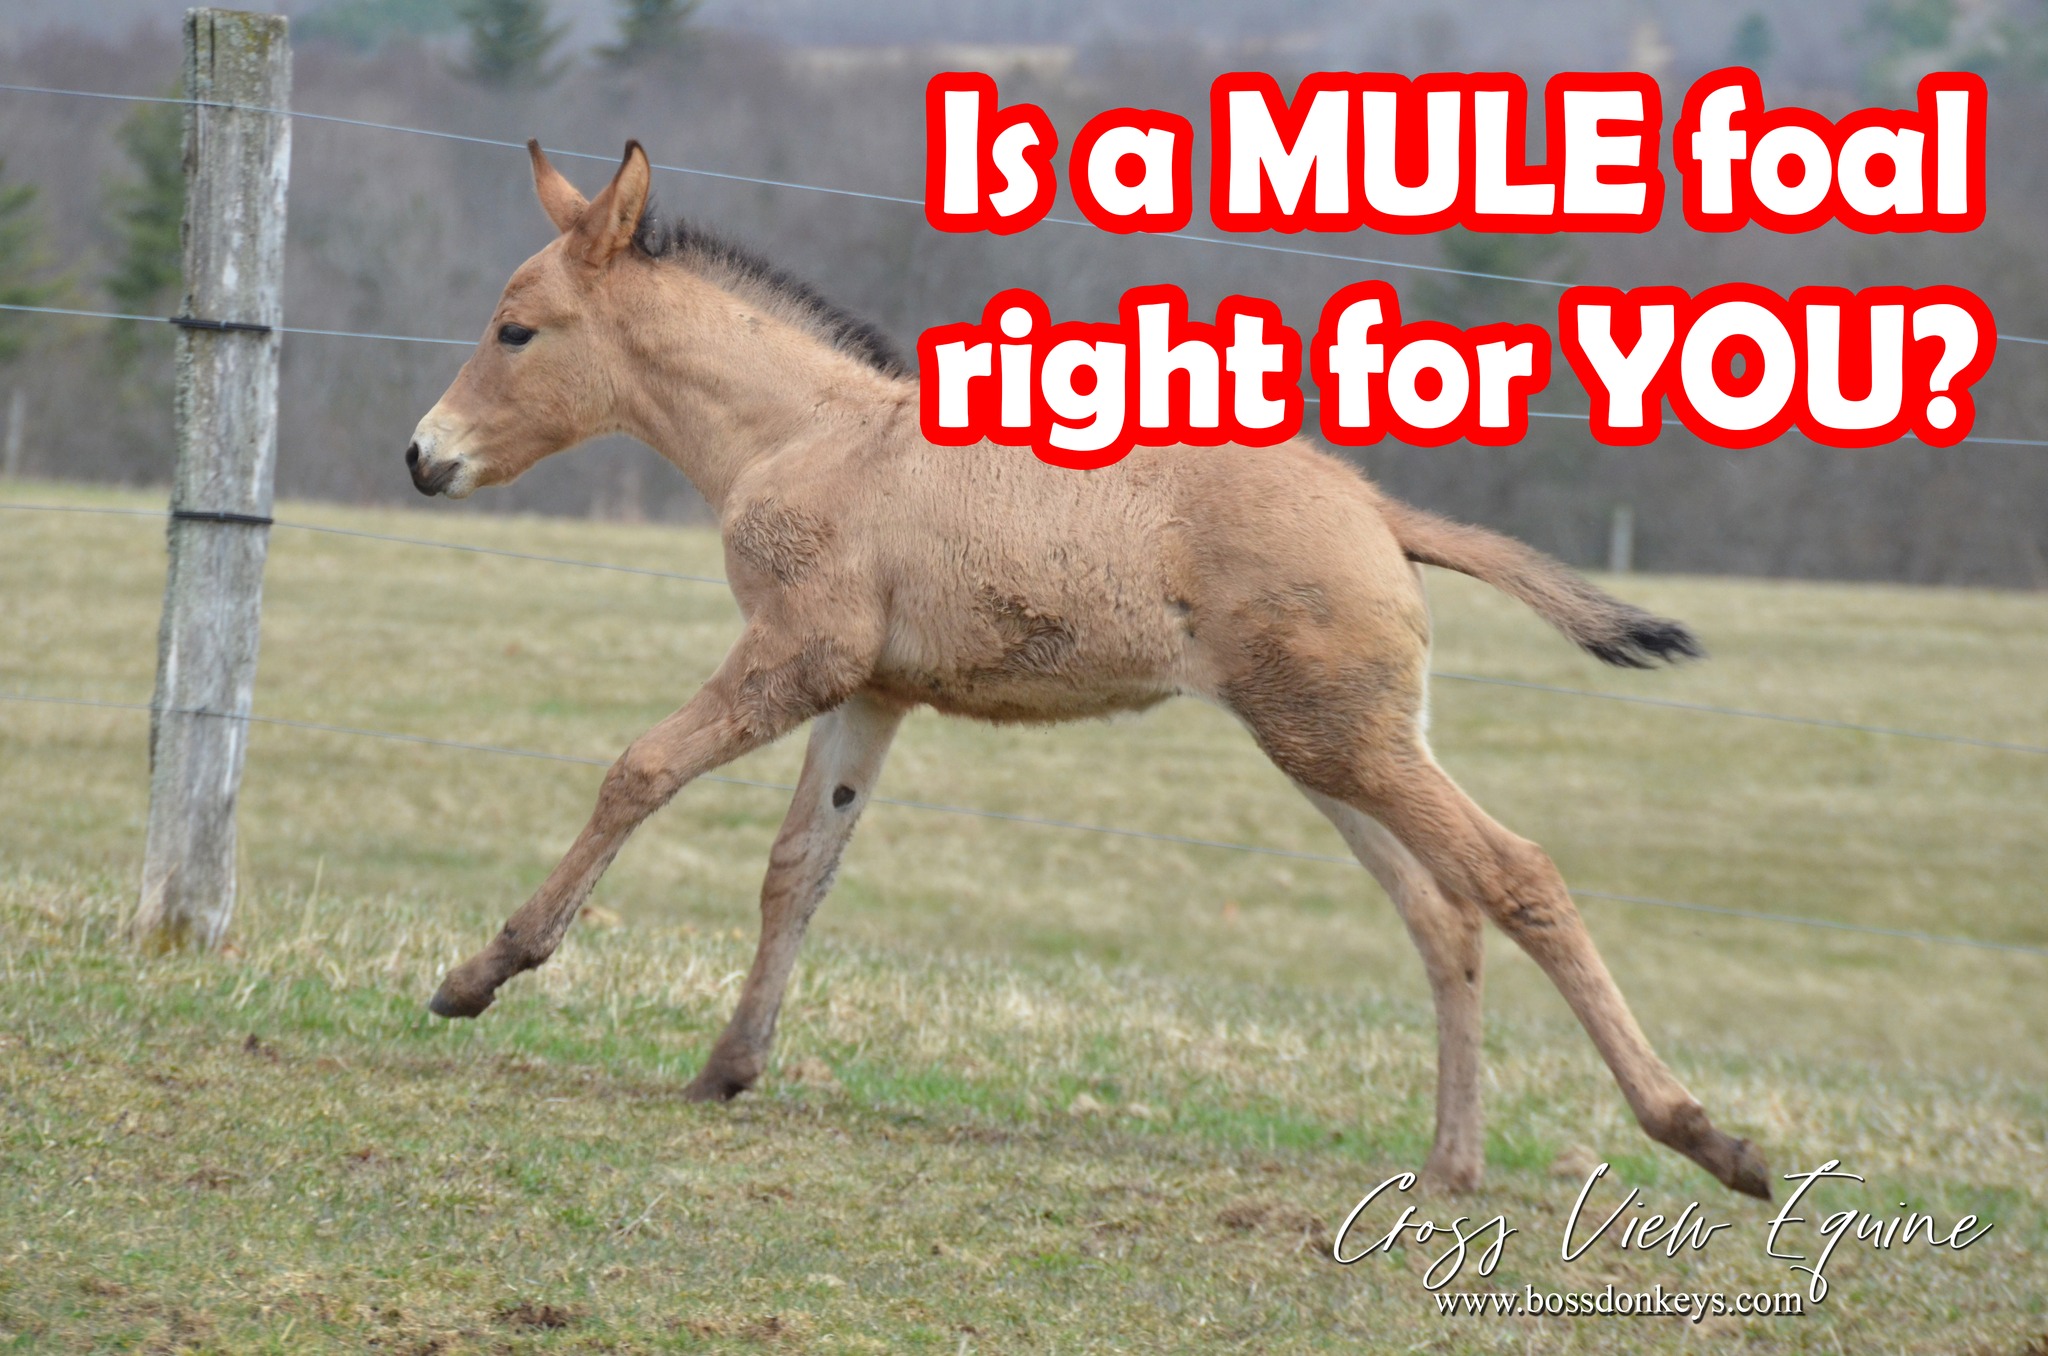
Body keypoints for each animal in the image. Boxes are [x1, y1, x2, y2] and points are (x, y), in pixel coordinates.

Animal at [404, 140, 1770, 1200]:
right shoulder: (869, 695)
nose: (422, 457)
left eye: (515, 330)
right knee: (1442, 915)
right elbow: (799, 870)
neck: (808, 435)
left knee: (1516, 876)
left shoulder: (796, 656)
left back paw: (1703, 1138)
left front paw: (483, 973)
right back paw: (1449, 1167)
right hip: (1334, 750)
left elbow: (638, 773)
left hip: (1344, 746)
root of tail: (1375, 511)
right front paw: (728, 1065)